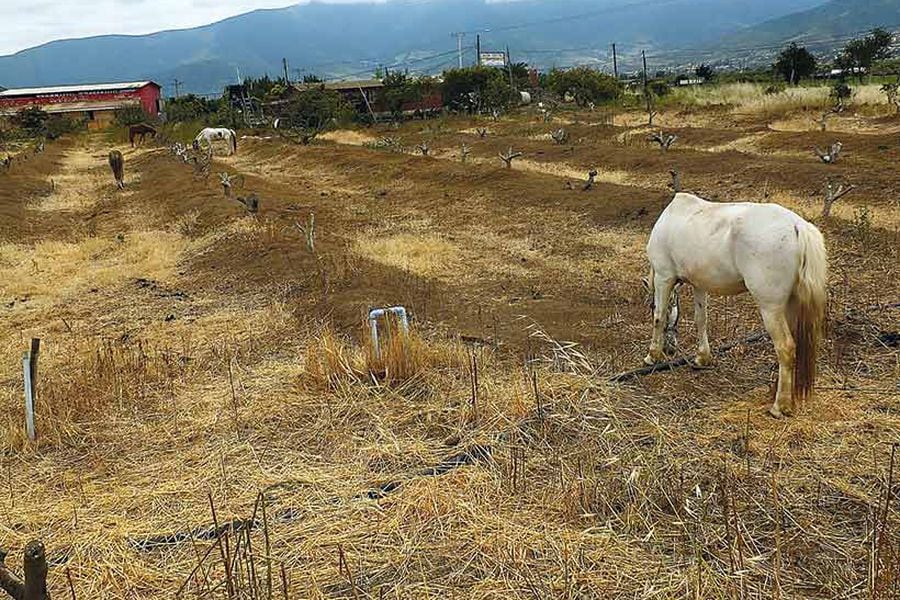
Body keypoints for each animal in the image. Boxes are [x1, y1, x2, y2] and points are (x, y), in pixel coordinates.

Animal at [644, 192, 828, 418]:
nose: (670, 350)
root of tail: (797, 226)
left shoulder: (663, 277)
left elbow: (659, 317)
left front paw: (652, 356)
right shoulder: (699, 285)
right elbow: (701, 320)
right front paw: (702, 358)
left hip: (771, 309)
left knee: (786, 347)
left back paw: (779, 406)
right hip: (790, 306)